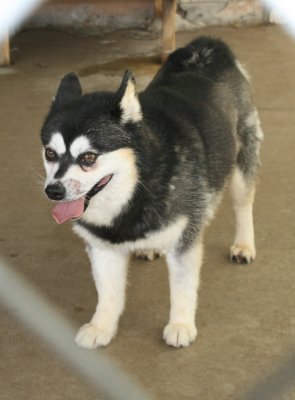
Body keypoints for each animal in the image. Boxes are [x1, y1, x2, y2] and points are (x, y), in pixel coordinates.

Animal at [41, 38, 264, 350]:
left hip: (242, 160)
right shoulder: (102, 245)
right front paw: (101, 326)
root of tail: (207, 47)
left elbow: (182, 287)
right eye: (50, 153)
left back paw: (244, 244)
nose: (54, 191)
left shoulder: (185, 238)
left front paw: (180, 324)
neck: (138, 186)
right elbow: (108, 293)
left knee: (244, 204)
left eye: (88, 158)